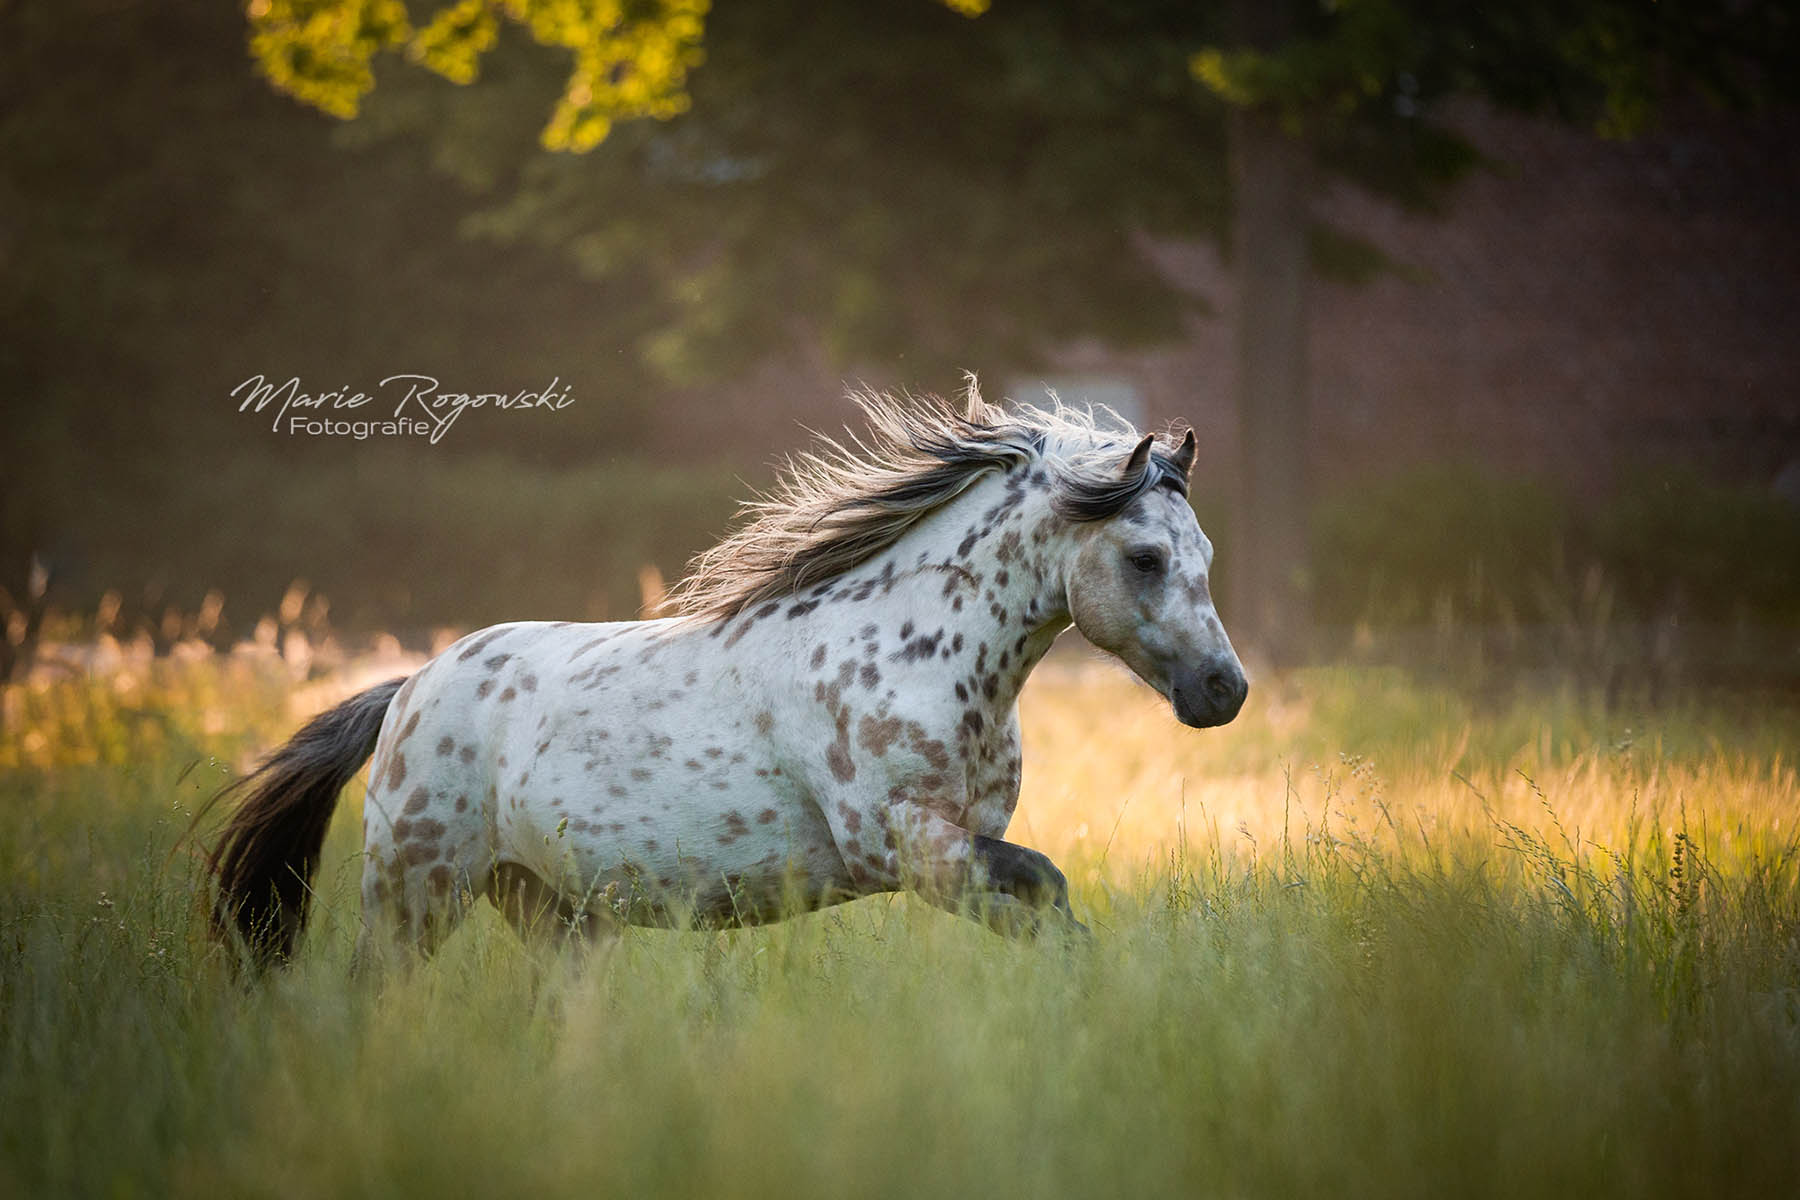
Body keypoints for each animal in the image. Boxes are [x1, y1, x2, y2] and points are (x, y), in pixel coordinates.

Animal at [210, 385, 1245, 964]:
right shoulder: (901, 842)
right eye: (1146, 557)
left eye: (1204, 554)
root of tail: (408, 688)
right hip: (416, 891)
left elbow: (1041, 913)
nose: (1224, 692)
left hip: (554, 915)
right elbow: (1049, 886)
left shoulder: (957, 852)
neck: (918, 652)